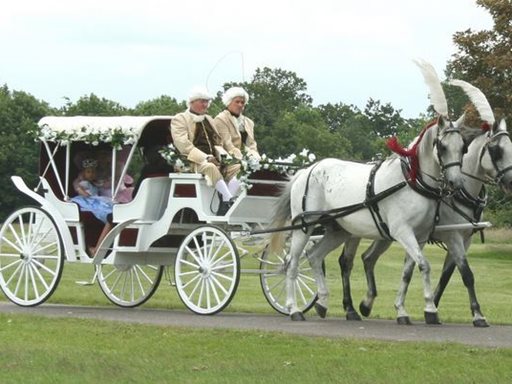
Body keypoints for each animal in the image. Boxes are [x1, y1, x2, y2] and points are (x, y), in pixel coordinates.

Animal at [270, 112, 466, 320]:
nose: (456, 183)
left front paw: (404, 309)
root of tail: (305, 171)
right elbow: (425, 265)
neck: (411, 182)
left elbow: (408, 271)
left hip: (339, 231)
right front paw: (430, 309)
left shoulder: (420, 237)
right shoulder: (403, 232)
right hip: (304, 226)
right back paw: (294, 309)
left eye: (463, 147)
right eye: (443, 147)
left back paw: (322, 302)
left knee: (314, 256)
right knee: (292, 264)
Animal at [336, 81, 512, 328]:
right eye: (496, 150)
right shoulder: (452, 236)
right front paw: (475, 314)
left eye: (464, 149)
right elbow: (466, 274)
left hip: (384, 233)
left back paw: (366, 304)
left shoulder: (461, 240)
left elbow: (444, 275)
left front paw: (432, 307)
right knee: (346, 262)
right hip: (354, 231)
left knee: (368, 258)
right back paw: (349, 307)